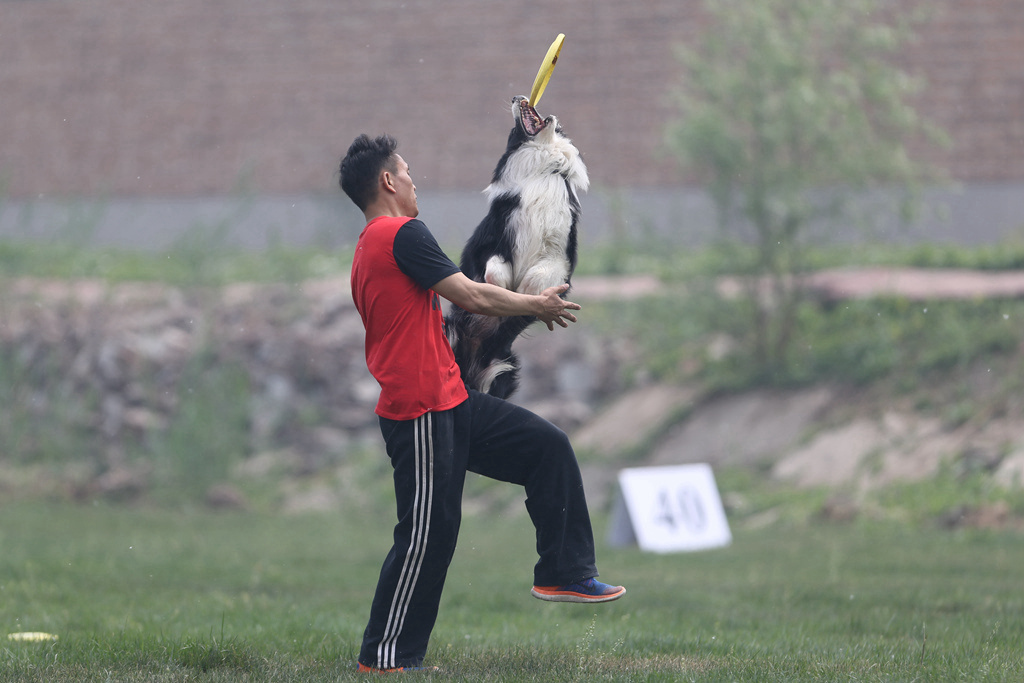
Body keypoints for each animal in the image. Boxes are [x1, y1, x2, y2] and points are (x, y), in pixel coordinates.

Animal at [444, 93, 589, 397]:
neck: (543, 171)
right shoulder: (488, 243)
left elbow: (537, 278)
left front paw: (529, 300)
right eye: (513, 131)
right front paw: (499, 292)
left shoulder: (559, 257)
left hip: (504, 369)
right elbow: (494, 270)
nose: (516, 96)